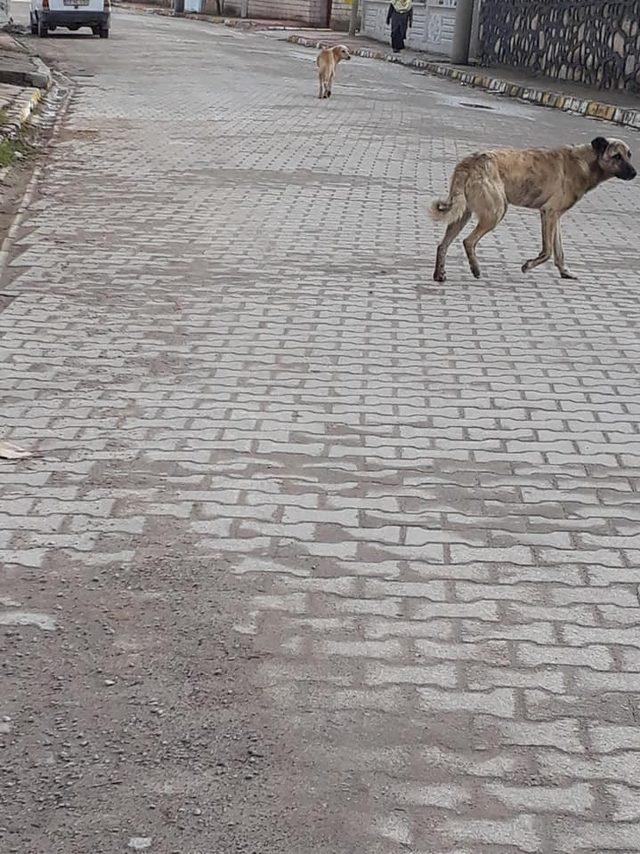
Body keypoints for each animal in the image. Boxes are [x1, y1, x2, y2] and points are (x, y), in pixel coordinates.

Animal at [430, 136, 636, 284]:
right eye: (617, 156)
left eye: (629, 154)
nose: (635, 173)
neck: (586, 162)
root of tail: (470, 162)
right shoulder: (549, 213)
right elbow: (548, 251)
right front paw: (528, 266)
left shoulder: (555, 217)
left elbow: (559, 252)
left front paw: (565, 272)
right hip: (496, 212)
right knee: (468, 241)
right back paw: (475, 269)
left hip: (462, 214)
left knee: (442, 245)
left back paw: (439, 274)